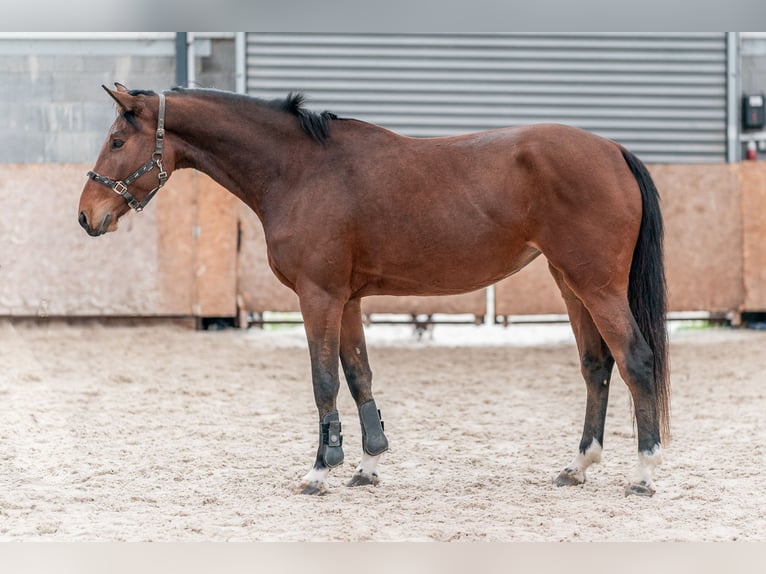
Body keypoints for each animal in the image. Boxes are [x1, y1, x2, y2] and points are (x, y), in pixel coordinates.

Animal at [79, 84, 672, 500]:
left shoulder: (317, 297)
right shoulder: (347, 300)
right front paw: (367, 465)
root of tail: (614, 150)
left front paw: (319, 471)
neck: (300, 170)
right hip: (571, 284)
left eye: (117, 141)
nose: (87, 215)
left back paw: (644, 473)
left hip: (597, 287)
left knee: (635, 361)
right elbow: (358, 375)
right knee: (596, 366)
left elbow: (323, 381)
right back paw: (579, 466)